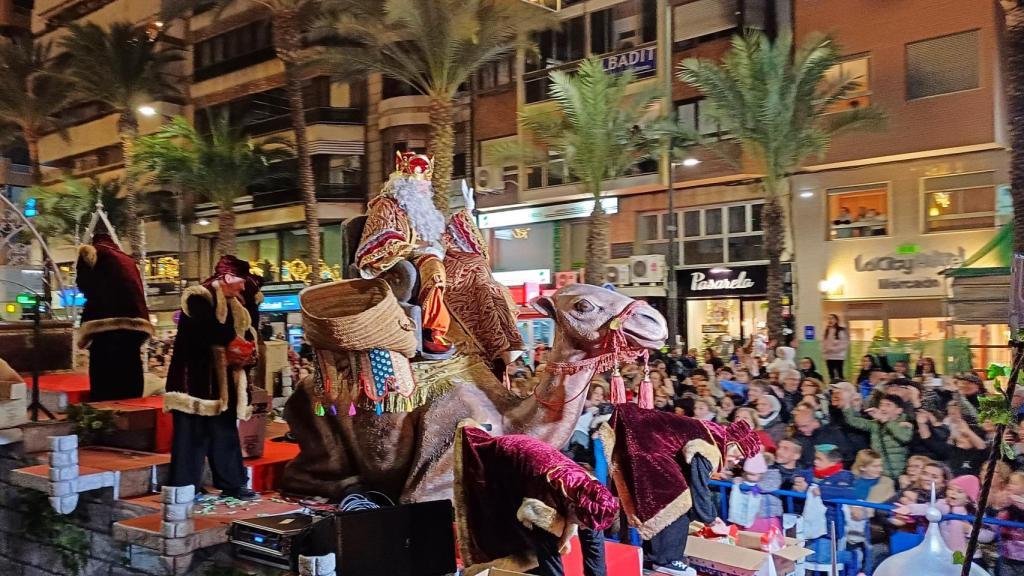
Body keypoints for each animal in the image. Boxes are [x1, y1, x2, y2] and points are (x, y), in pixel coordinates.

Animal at [280, 282, 667, 502]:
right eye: (583, 305)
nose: (655, 321)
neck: (508, 419)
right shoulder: (434, 466)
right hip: (313, 417)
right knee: (302, 471)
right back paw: (354, 487)